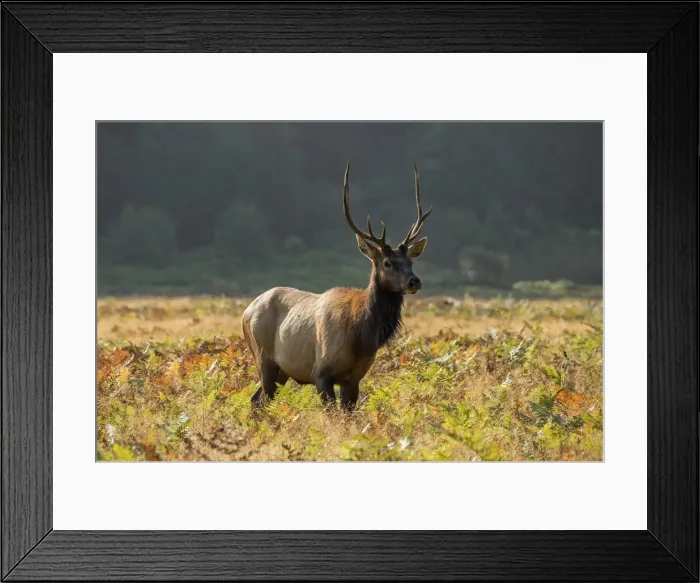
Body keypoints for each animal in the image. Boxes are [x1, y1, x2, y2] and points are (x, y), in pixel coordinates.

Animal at [241, 162, 432, 411]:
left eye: (411, 261)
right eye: (388, 263)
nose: (414, 281)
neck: (360, 335)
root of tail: (246, 311)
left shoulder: (354, 378)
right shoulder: (320, 372)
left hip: (282, 370)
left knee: (257, 399)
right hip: (262, 356)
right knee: (260, 398)